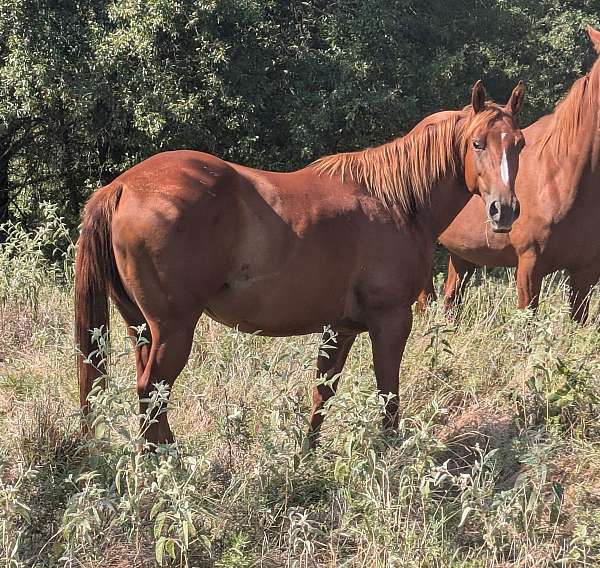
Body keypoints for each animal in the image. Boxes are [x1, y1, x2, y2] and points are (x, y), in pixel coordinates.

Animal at [76, 80, 524, 446]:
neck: (395, 199)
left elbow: (323, 391)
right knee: (152, 391)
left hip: (141, 326)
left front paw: (307, 455)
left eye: (517, 143)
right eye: (478, 143)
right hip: (173, 329)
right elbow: (388, 393)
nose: (504, 210)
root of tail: (123, 186)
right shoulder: (392, 320)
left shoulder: (340, 328)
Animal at [420, 27, 600, 324]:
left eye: (521, 144)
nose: (504, 210)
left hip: (462, 255)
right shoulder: (529, 267)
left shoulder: (585, 273)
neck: (563, 177)